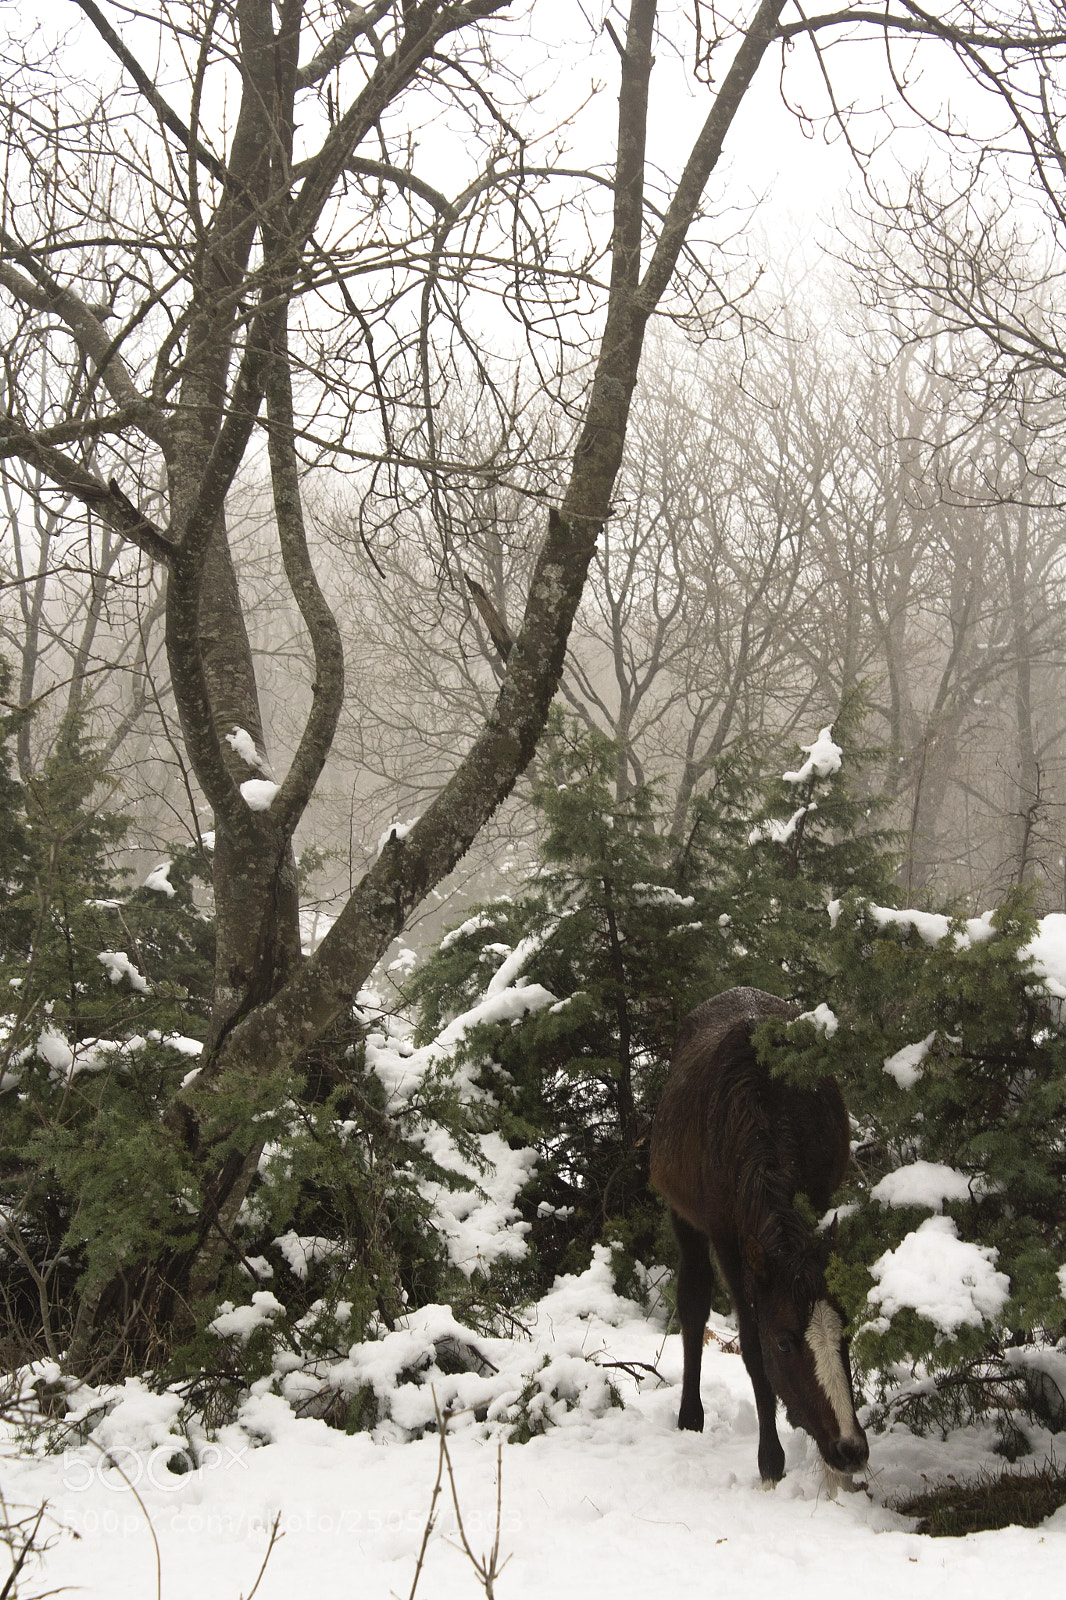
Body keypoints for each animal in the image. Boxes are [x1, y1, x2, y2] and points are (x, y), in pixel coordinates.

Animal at [650, 986, 869, 1486]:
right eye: (784, 1343)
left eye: (846, 1333)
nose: (849, 1448)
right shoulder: (727, 1235)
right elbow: (750, 1345)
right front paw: (770, 1458)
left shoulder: (818, 1201)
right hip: (683, 1215)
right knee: (692, 1302)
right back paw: (690, 1414)